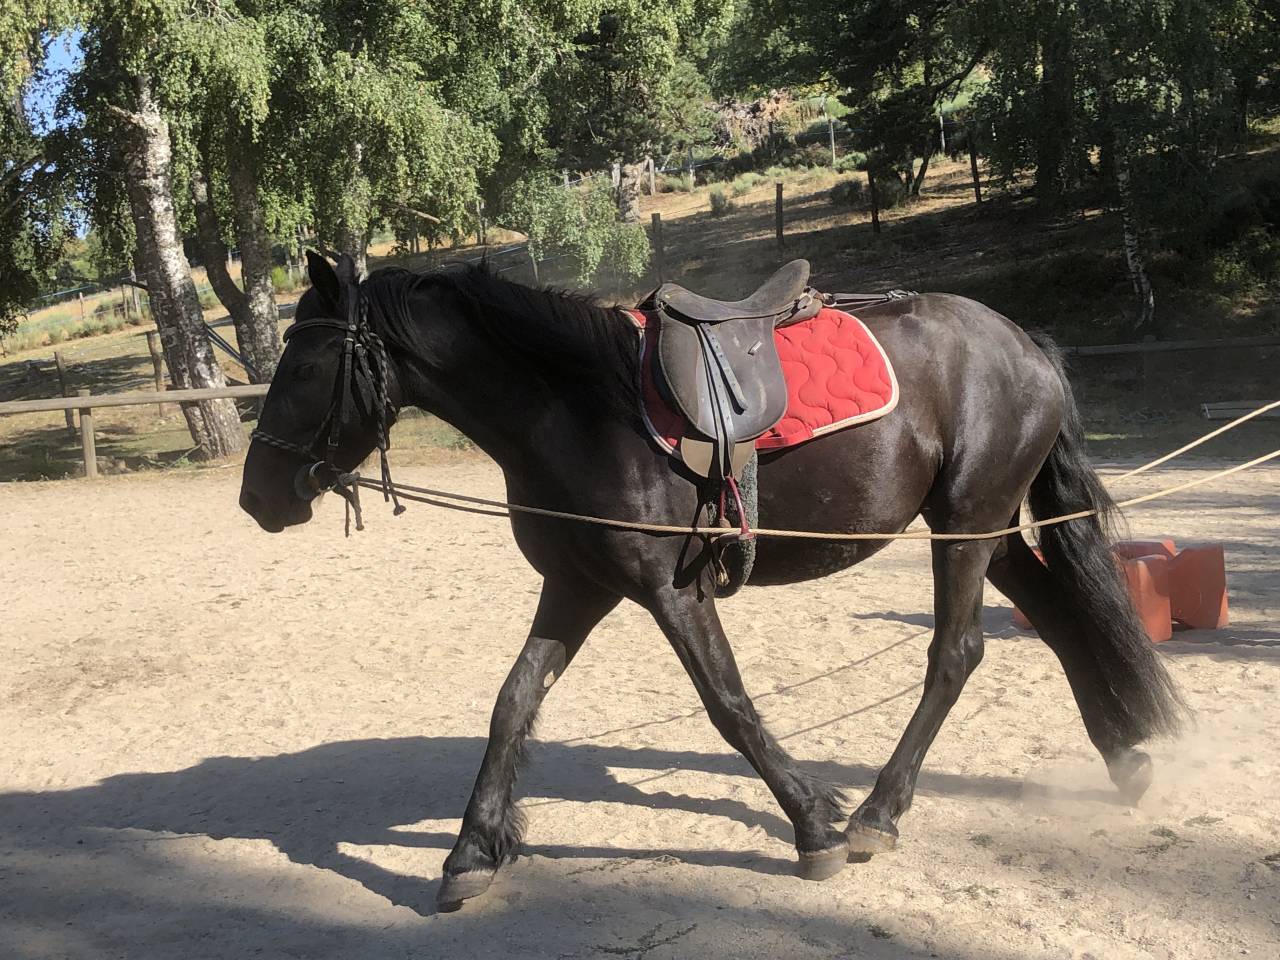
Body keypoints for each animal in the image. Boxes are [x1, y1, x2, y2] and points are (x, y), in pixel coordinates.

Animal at [239, 252, 1182, 909]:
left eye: (304, 369)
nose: (257, 496)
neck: (578, 406)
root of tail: (1026, 344)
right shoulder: (577, 586)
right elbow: (513, 701)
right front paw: (471, 852)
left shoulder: (670, 590)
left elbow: (727, 704)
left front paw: (813, 825)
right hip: (982, 529)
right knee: (1060, 618)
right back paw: (1125, 758)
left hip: (965, 525)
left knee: (955, 654)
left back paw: (879, 814)